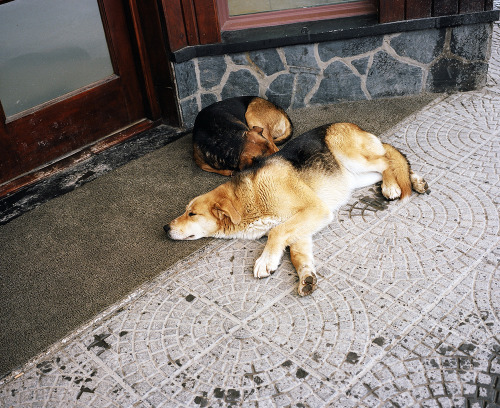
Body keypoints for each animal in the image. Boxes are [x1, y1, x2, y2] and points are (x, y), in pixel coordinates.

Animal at [165, 122, 430, 294]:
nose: (166, 228)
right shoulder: (302, 229)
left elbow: (276, 232)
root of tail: (355, 126)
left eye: (192, 213)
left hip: (350, 156)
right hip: (356, 176)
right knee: (395, 163)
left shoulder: (314, 209)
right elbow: (297, 254)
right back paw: (416, 181)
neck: (251, 197)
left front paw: (266, 260)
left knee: (387, 161)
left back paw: (392, 186)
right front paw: (306, 276)